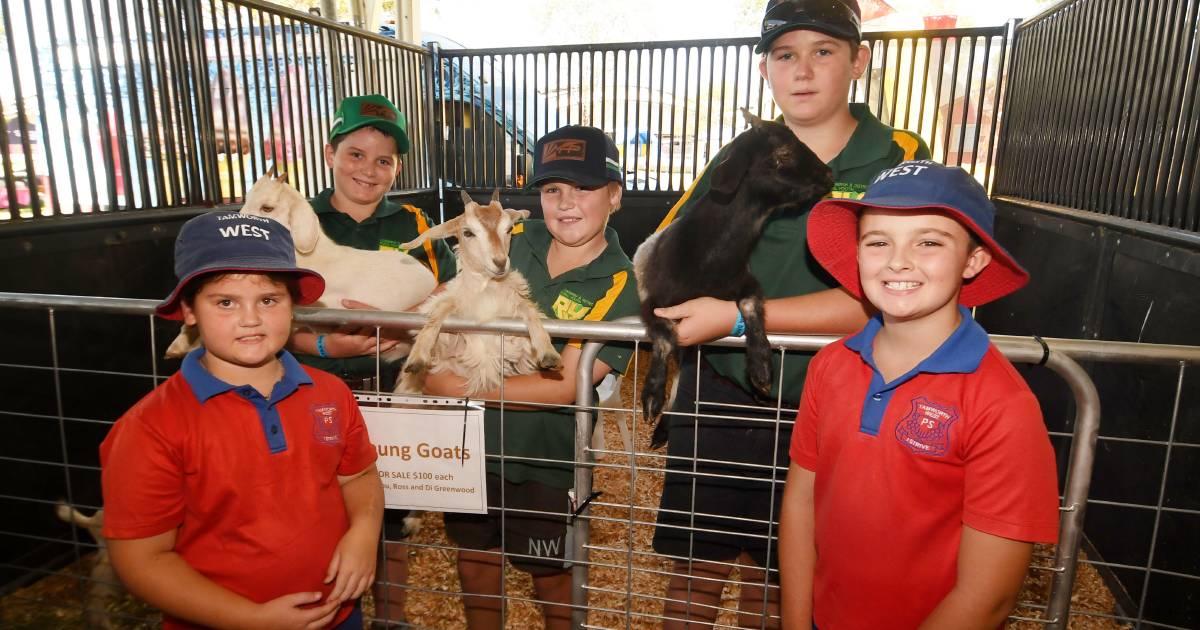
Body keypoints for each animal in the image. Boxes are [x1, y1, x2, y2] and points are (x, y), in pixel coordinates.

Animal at [396, 188, 559, 393]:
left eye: (509, 229)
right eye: (467, 232)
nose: (500, 262)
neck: (488, 290)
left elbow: (528, 309)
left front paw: (548, 351)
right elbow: (440, 310)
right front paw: (418, 355)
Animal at [638, 108, 835, 444]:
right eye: (782, 153)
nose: (828, 175)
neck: (711, 255)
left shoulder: (743, 281)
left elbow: (751, 306)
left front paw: (761, 365)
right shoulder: (653, 304)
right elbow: (663, 338)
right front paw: (652, 394)